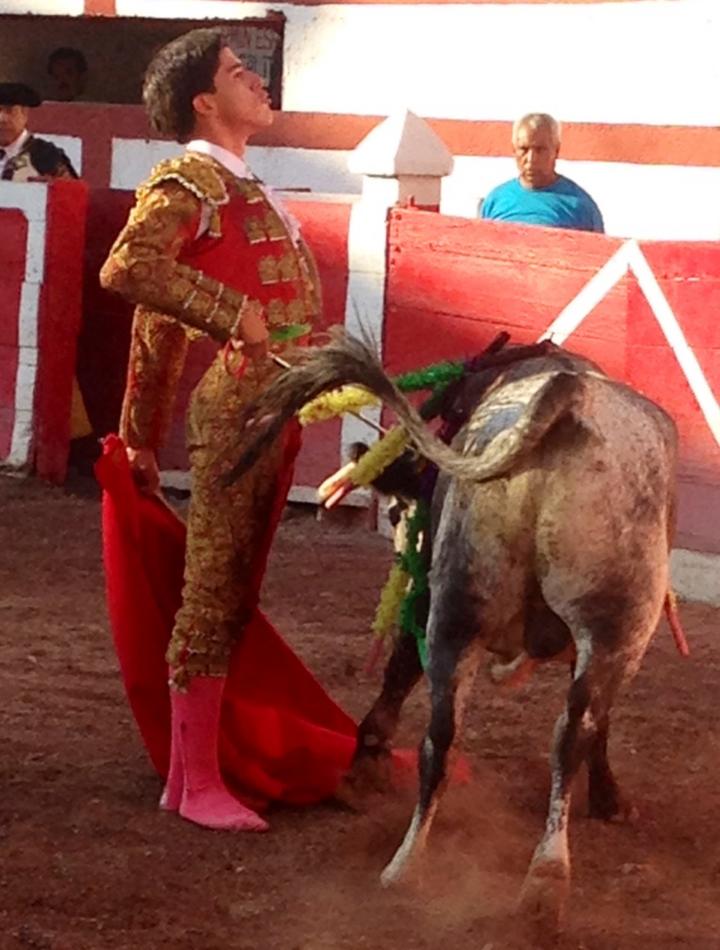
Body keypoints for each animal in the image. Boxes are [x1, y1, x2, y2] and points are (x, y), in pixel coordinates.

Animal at [231, 332, 680, 928]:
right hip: (592, 624)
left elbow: (402, 669)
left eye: (396, 512)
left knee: (446, 737)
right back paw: (537, 880)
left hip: (462, 607)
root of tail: (570, 398)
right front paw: (609, 800)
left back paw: (413, 867)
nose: (400, 530)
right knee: (567, 733)